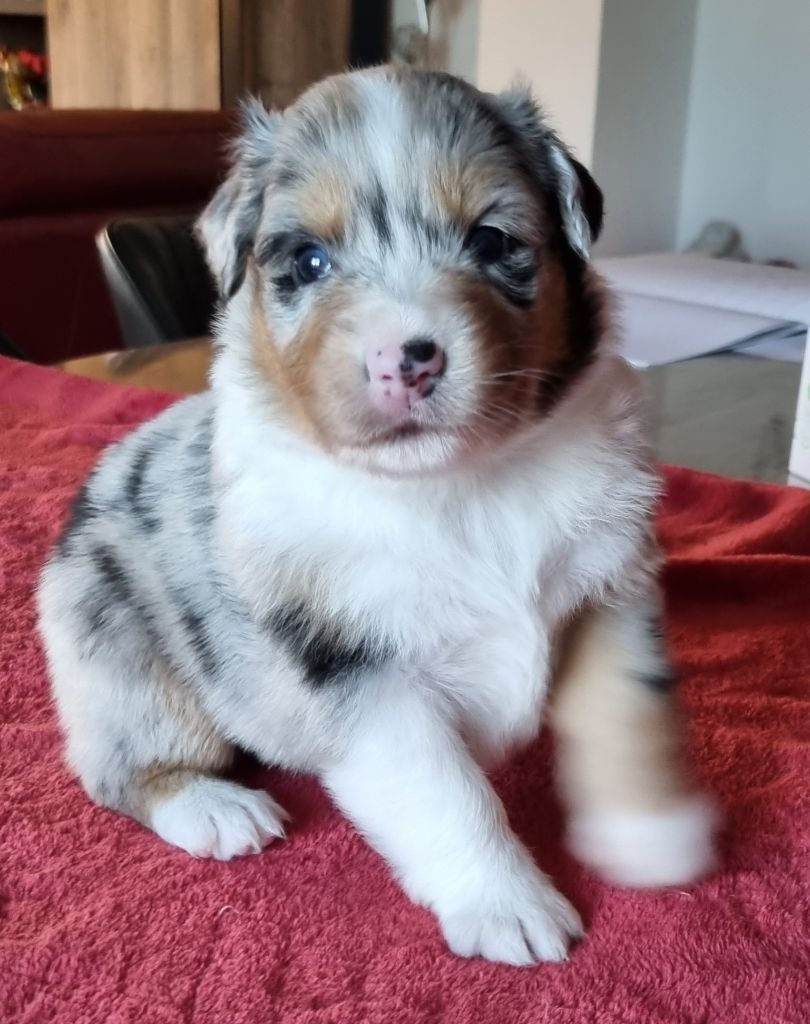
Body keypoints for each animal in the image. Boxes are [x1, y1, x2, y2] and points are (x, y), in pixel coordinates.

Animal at [37, 66, 716, 966]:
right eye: (309, 260)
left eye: (492, 241)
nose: (410, 360)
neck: (461, 484)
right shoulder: (354, 665)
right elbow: (447, 789)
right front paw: (509, 904)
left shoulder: (608, 588)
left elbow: (628, 708)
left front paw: (653, 835)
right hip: (121, 661)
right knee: (120, 767)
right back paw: (218, 809)